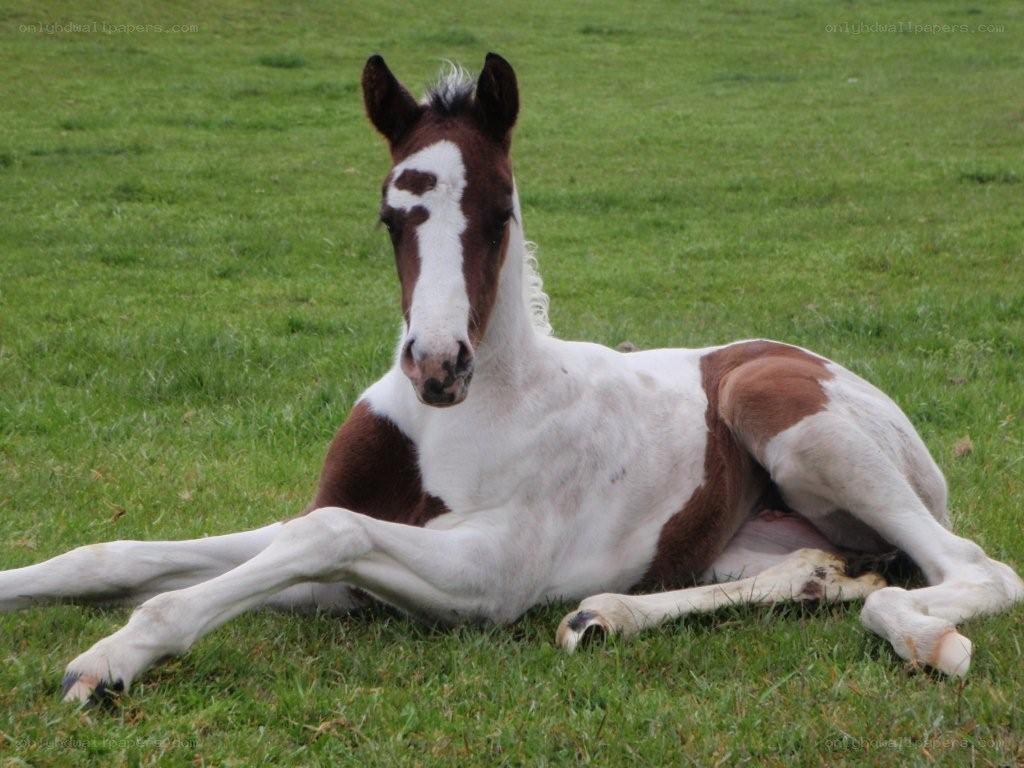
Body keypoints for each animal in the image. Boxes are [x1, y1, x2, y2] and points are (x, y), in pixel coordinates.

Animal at [2, 53, 1021, 705]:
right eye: (390, 216)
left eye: (499, 210)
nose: (438, 364)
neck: (460, 419)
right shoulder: (333, 544)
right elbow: (124, 554)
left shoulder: (487, 574)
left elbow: (326, 535)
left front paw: (112, 658)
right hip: (750, 539)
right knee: (825, 571)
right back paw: (612, 615)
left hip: (783, 411)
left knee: (965, 568)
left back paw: (924, 635)